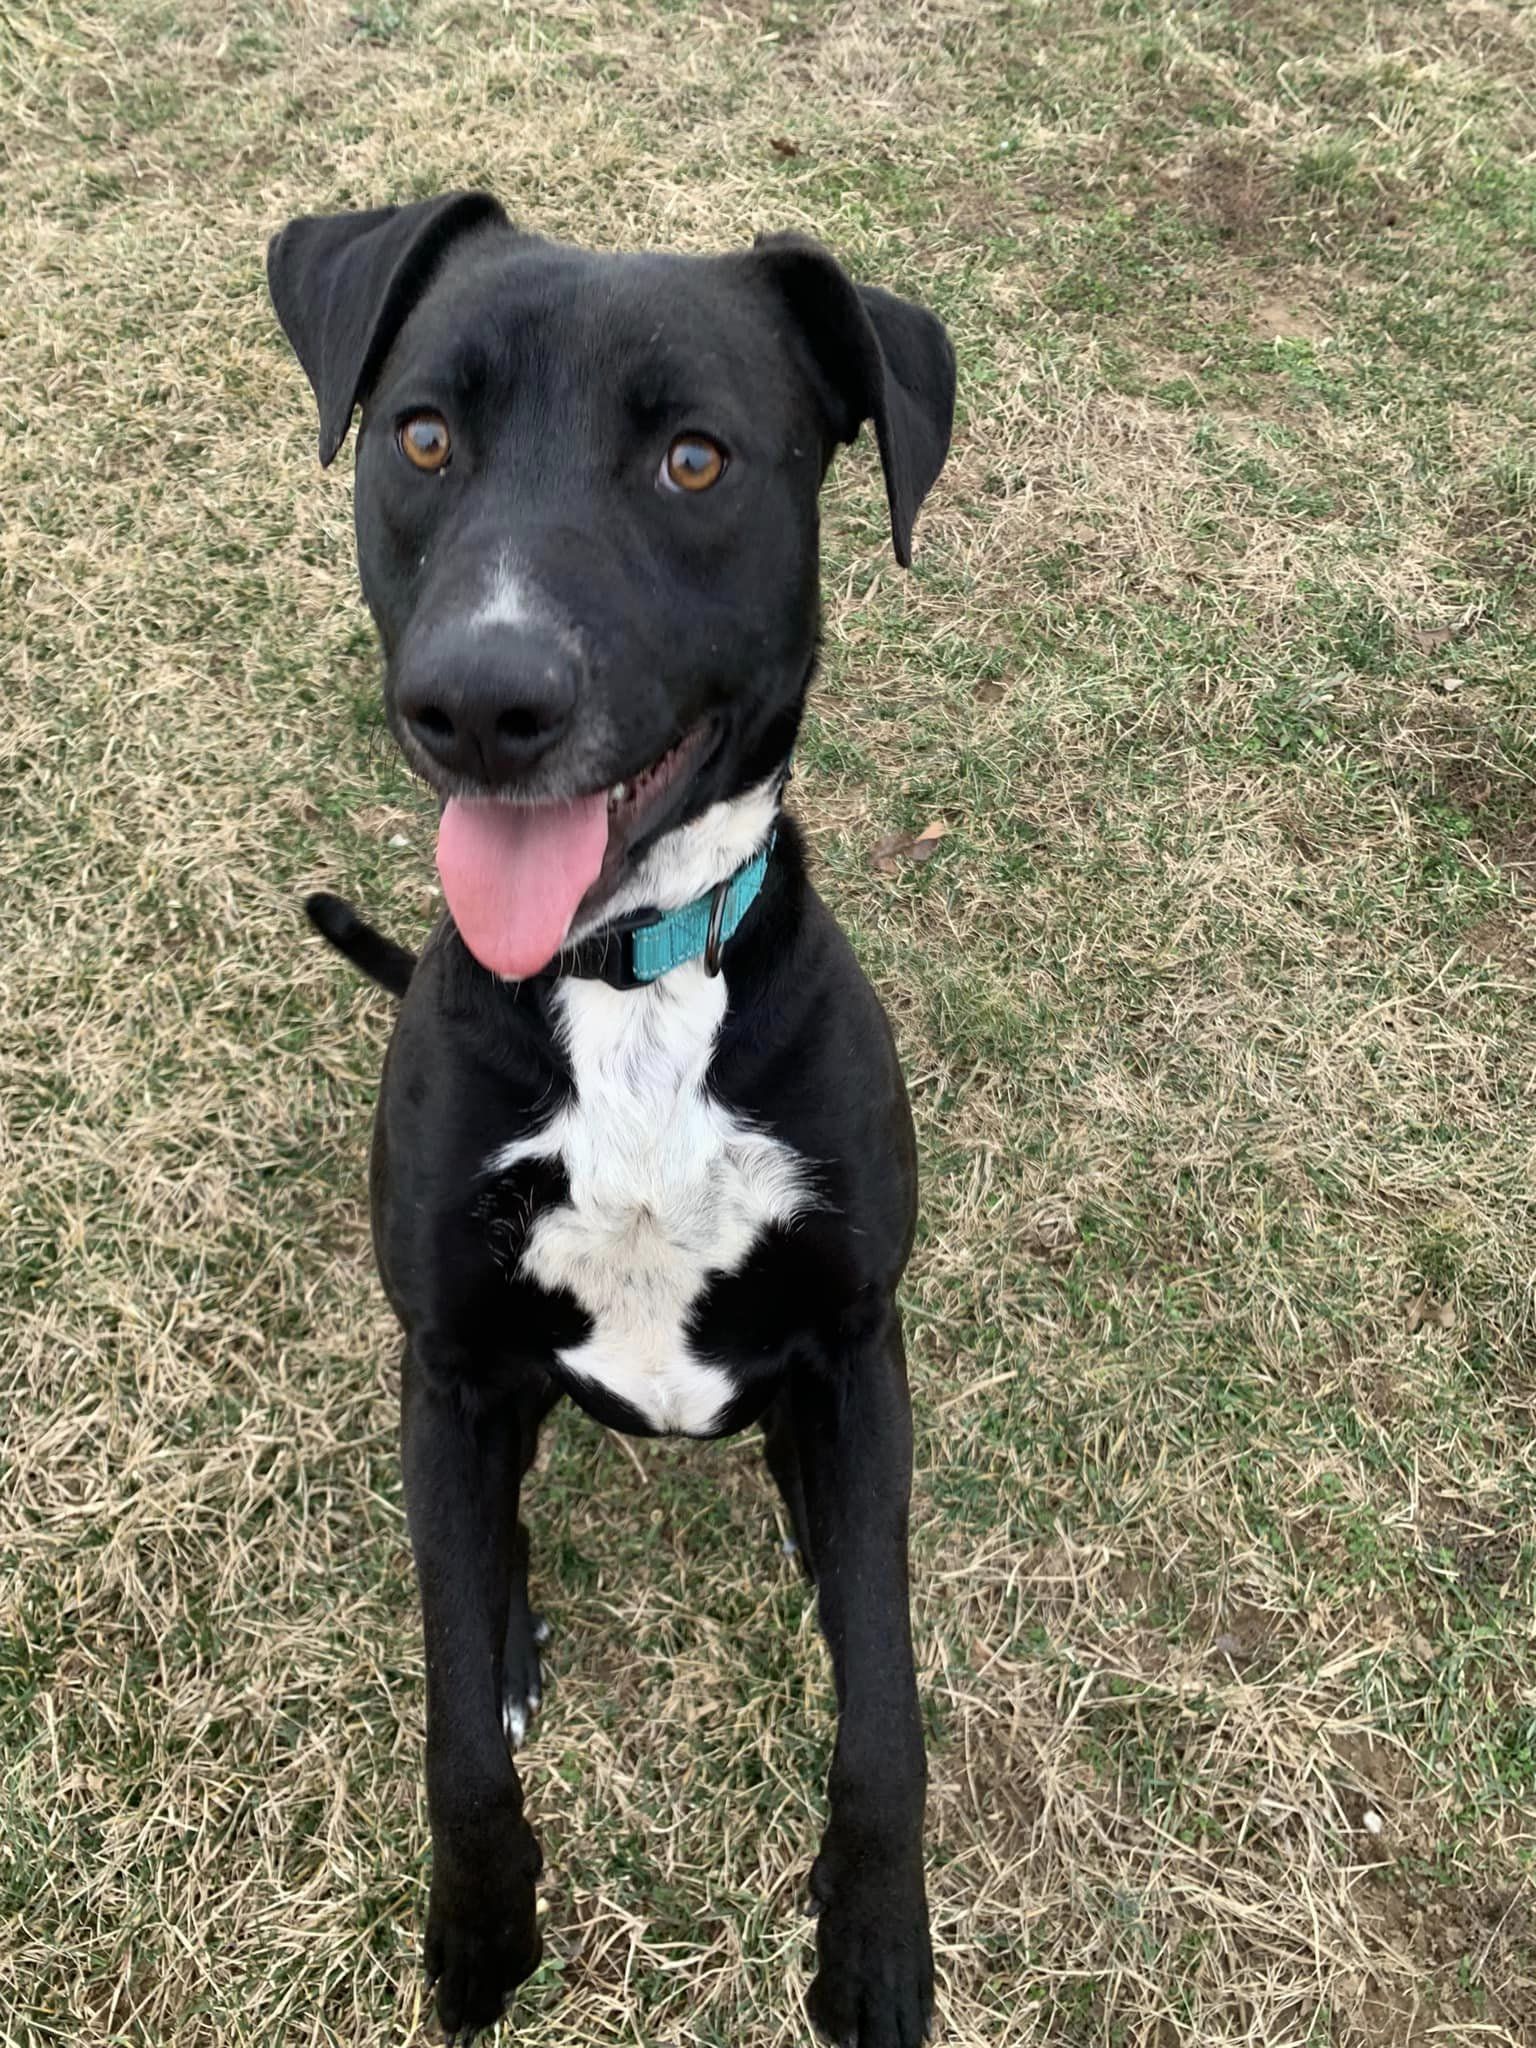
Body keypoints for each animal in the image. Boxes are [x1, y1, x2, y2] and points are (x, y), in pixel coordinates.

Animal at [270, 195, 958, 2048]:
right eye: (423, 437)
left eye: (694, 461)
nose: (480, 702)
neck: (625, 979)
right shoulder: (445, 1363)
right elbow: (449, 1717)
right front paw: (478, 1929)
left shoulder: (857, 1342)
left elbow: (884, 1710)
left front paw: (876, 1950)